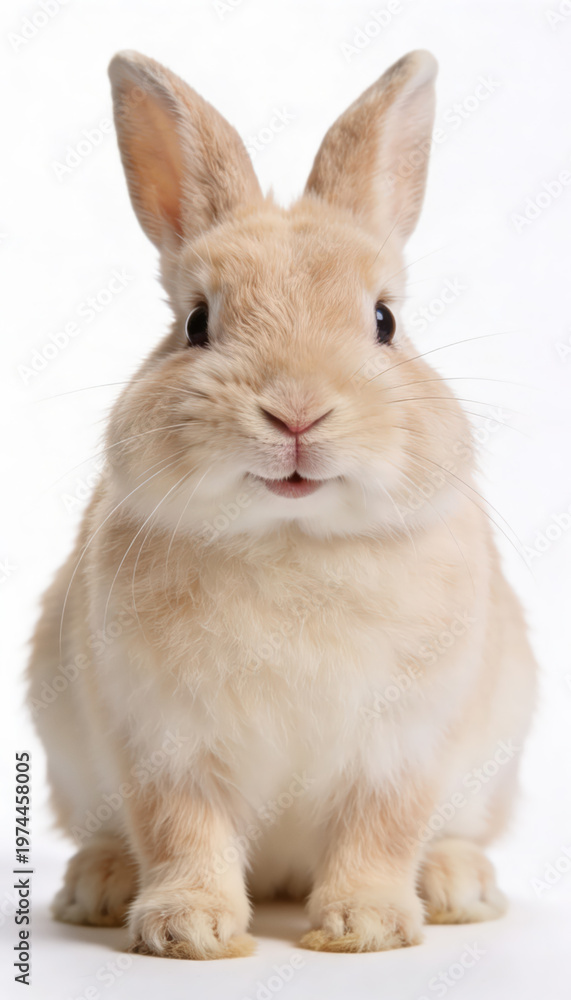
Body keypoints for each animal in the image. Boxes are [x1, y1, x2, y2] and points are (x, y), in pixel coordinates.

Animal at [28, 49, 537, 959]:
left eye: (384, 321)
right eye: (196, 323)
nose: (296, 413)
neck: (289, 537)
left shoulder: (403, 745)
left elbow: (381, 828)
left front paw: (364, 927)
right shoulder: (162, 740)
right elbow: (179, 829)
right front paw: (189, 930)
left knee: (451, 833)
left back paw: (457, 886)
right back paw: (98, 886)